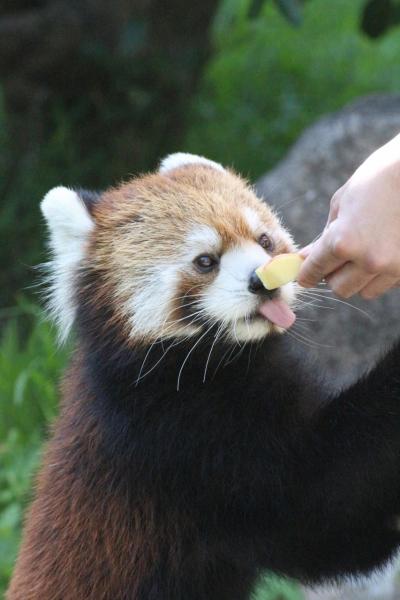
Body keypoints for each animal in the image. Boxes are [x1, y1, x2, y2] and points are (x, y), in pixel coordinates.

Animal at [7, 156, 400, 600]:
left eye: (265, 241)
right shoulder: (171, 439)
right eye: (206, 261)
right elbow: (318, 505)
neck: (220, 363)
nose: (262, 282)